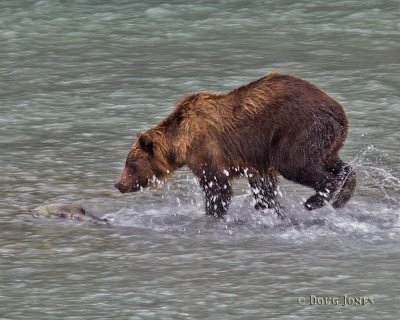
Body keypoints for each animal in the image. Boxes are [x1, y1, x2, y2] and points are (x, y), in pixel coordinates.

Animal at [115, 72, 356, 218]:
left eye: (130, 163)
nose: (118, 184)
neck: (182, 140)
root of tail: (339, 111)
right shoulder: (257, 159)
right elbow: (264, 187)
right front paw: (270, 207)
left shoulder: (206, 149)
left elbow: (217, 187)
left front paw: (213, 213)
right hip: (327, 138)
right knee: (337, 163)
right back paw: (343, 194)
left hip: (299, 129)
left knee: (296, 164)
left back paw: (314, 201)